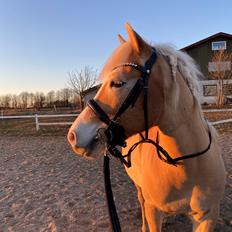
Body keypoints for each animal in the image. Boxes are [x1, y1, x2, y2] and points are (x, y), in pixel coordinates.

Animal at [67, 24, 227, 232]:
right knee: (141, 200)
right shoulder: (153, 210)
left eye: (117, 83)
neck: (185, 165)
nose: (73, 136)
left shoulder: (207, 217)